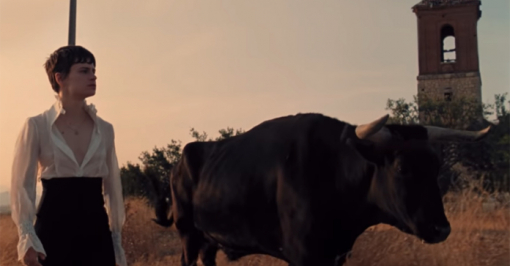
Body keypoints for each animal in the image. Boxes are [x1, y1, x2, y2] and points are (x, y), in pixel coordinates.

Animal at [147, 112, 490, 266]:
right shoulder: (303, 256)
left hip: (209, 239)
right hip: (188, 233)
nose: (441, 228)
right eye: (402, 168)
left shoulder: (336, 255)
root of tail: (182, 159)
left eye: (437, 167)